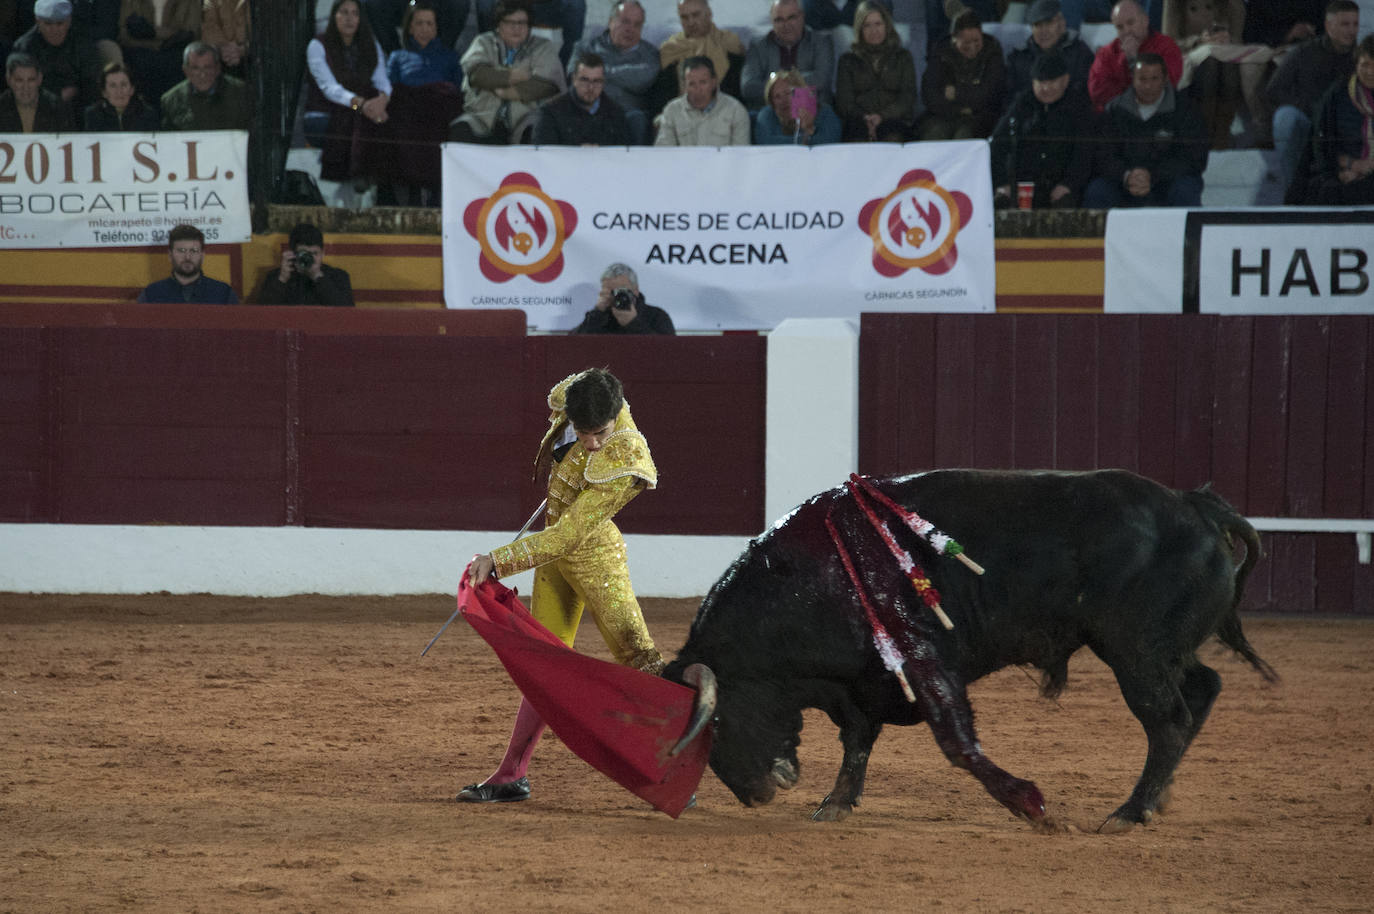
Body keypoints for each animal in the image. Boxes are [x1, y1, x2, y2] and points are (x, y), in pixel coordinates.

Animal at [662, 467, 1275, 830]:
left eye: (714, 724)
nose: (755, 795)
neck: (811, 576)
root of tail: (1196, 505)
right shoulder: (863, 682)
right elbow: (857, 740)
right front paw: (835, 803)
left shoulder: (923, 657)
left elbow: (955, 741)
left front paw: (1033, 807)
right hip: (1159, 651)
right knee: (1203, 688)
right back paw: (1157, 798)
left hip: (1135, 651)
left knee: (1168, 719)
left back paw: (1130, 811)